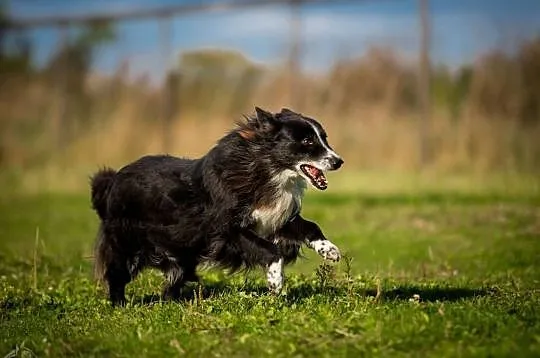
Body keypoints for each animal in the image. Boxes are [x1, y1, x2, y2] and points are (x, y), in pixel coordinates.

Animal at [90, 107, 344, 304]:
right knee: (117, 273)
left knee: (175, 276)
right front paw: (275, 282)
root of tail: (112, 180)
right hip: (127, 240)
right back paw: (120, 305)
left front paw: (330, 251)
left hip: (180, 252)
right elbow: (271, 251)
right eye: (307, 141)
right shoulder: (225, 231)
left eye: (324, 138)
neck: (267, 168)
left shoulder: (275, 219)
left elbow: (310, 226)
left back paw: (172, 301)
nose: (339, 161)